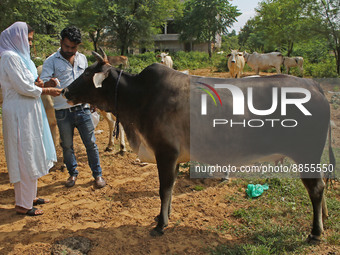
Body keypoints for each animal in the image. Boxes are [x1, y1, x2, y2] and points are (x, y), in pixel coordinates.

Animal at [61, 49, 334, 241]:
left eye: (87, 74)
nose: (64, 91)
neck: (140, 97)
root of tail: (315, 86)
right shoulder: (173, 157)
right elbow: (169, 190)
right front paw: (163, 216)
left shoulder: (166, 153)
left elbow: (164, 189)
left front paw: (160, 224)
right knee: (321, 185)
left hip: (306, 154)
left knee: (316, 189)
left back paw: (315, 232)